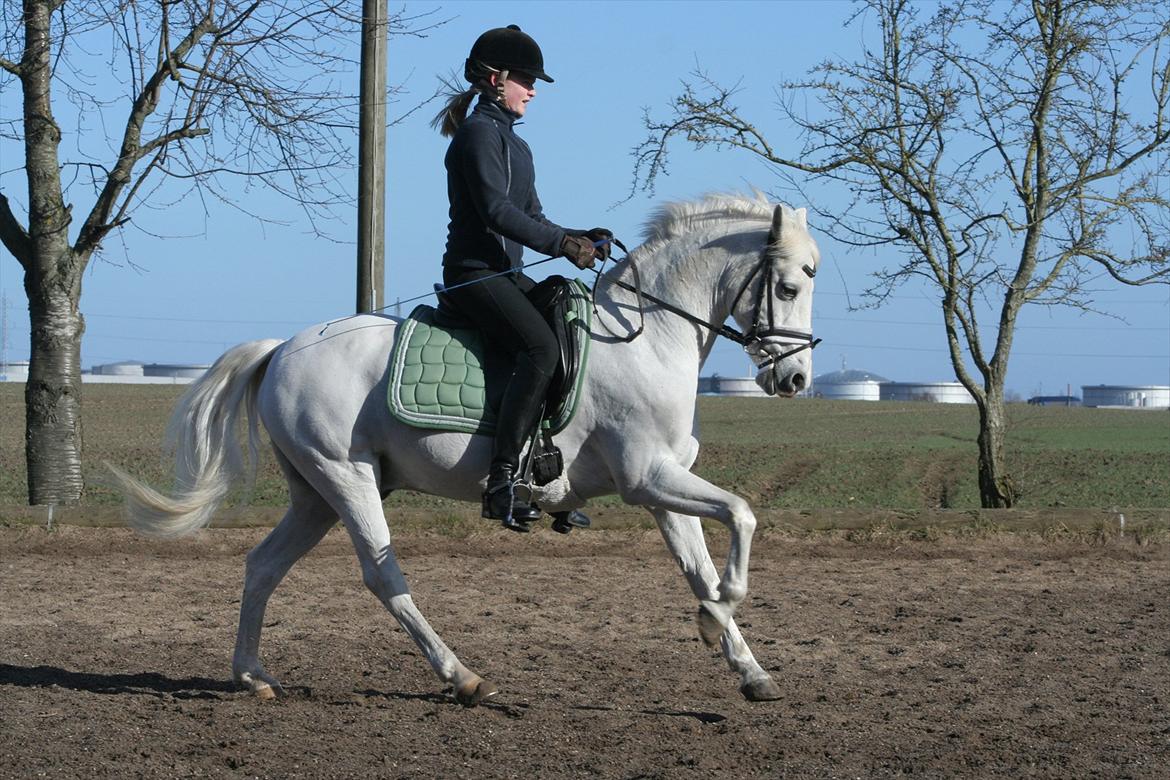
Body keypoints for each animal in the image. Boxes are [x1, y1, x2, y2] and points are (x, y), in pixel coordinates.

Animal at [110, 192, 820, 706]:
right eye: (788, 288)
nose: (794, 381)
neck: (645, 338)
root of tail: (282, 348)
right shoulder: (648, 477)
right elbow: (743, 514)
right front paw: (715, 616)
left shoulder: (663, 488)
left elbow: (702, 562)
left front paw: (747, 666)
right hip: (347, 479)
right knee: (383, 575)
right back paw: (463, 677)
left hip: (314, 494)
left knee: (263, 565)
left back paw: (251, 676)